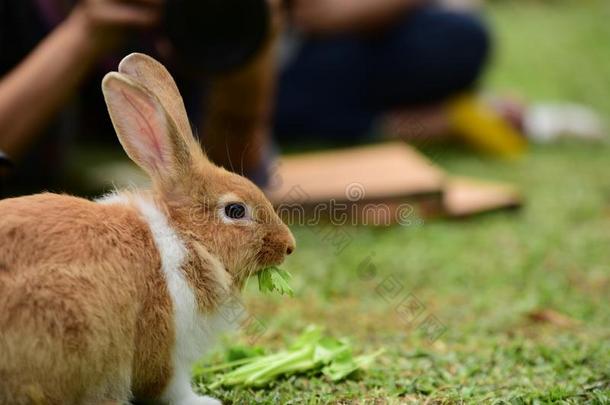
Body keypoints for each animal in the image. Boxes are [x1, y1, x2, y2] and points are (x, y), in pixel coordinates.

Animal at [0, 52, 294, 402]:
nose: (289, 245)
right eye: (235, 210)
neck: (186, 237)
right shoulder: (164, 343)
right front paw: (203, 401)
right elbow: (170, 387)